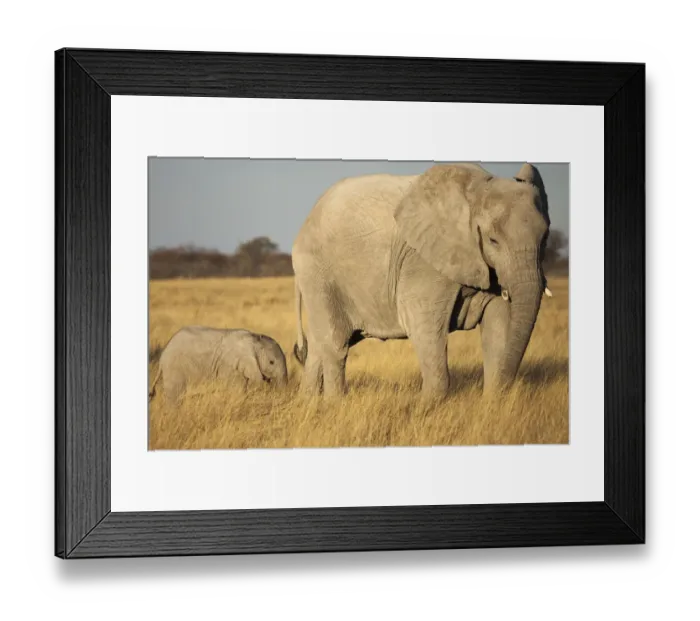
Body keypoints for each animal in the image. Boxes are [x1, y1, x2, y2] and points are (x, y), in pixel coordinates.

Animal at [149, 326, 288, 405]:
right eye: (271, 362)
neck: (254, 338)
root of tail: (162, 357)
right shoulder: (228, 366)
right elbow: (238, 391)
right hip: (175, 370)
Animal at [291, 162, 552, 399]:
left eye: (545, 237)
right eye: (492, 240)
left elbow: (498, 323)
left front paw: (492, 401)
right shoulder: (422, 260)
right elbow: (422, 321)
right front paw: (424, 406)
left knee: (319, 344)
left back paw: (309, 403)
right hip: (318, 273)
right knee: (336, 344)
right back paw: (335, 403)